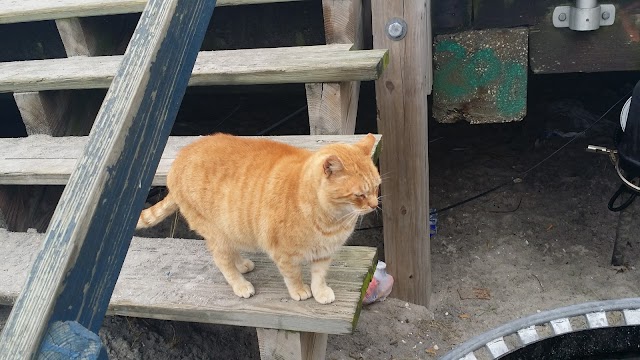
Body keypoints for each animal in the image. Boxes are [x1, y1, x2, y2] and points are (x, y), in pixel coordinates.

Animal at [132, 132, 378, 304]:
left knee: (232, 251)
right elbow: (293, 275)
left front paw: (320, 292)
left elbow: (319, 275)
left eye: (377, 187)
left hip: (230, 228)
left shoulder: (324, 254)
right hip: (216, 234)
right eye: (359, 195)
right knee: (222, 261)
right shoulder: (282, 254)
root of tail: (179, 157)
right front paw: (299, 290)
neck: (332, 221)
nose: (375, 205)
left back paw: (242, 264)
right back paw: (241, 285)